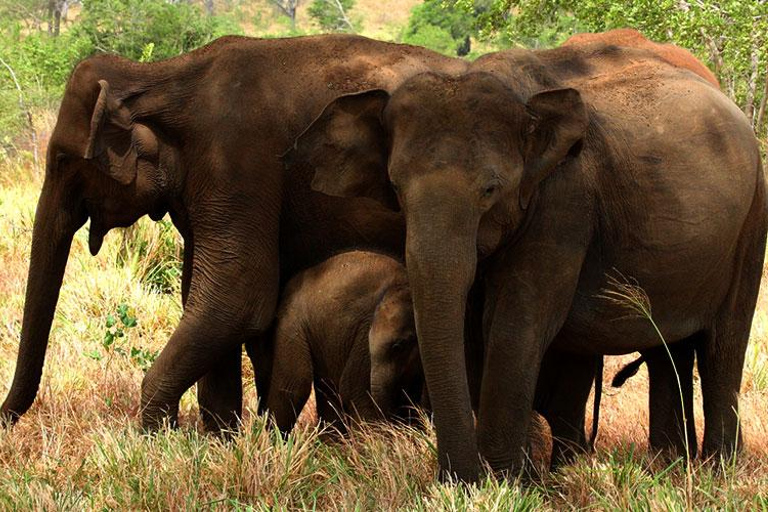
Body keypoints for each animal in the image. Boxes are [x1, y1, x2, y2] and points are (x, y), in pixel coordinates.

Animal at [290, 42, 768, 482]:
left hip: (752, 221)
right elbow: (471, 327)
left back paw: (718, 472)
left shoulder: (564, 202)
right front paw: (501, 480)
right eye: (395, 187)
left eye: (490, 189)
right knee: (671, 349)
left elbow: (516, 323)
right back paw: (669, 468)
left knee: (724, 343)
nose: (457, 475)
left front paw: (501, 481)